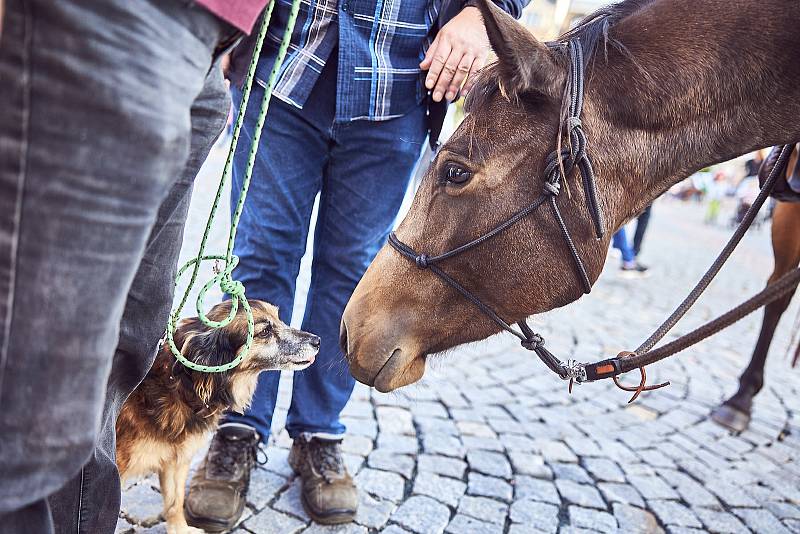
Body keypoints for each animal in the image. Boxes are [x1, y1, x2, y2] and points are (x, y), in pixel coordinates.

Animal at [115, 302, 318, 534]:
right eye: (265, 331)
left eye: (279, 318)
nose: (317, 341)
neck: (178, 386)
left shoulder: (177, 458)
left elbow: (175, 501)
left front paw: (181, 529)